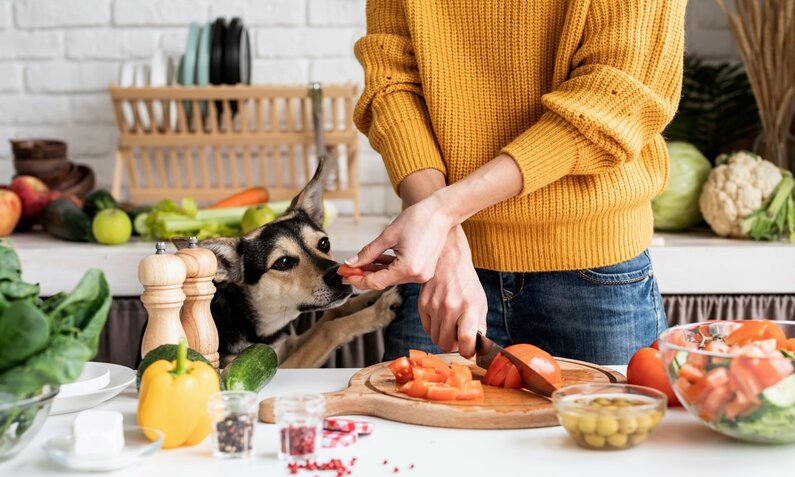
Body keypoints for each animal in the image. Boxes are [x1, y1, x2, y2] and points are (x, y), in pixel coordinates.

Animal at [173, 158, 398, 366]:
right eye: (282, 262)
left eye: (324, 243)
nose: (339, 275)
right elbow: (328, 329)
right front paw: (379, 311)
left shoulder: (289, 344)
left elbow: (335, 312)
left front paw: (372, 296)